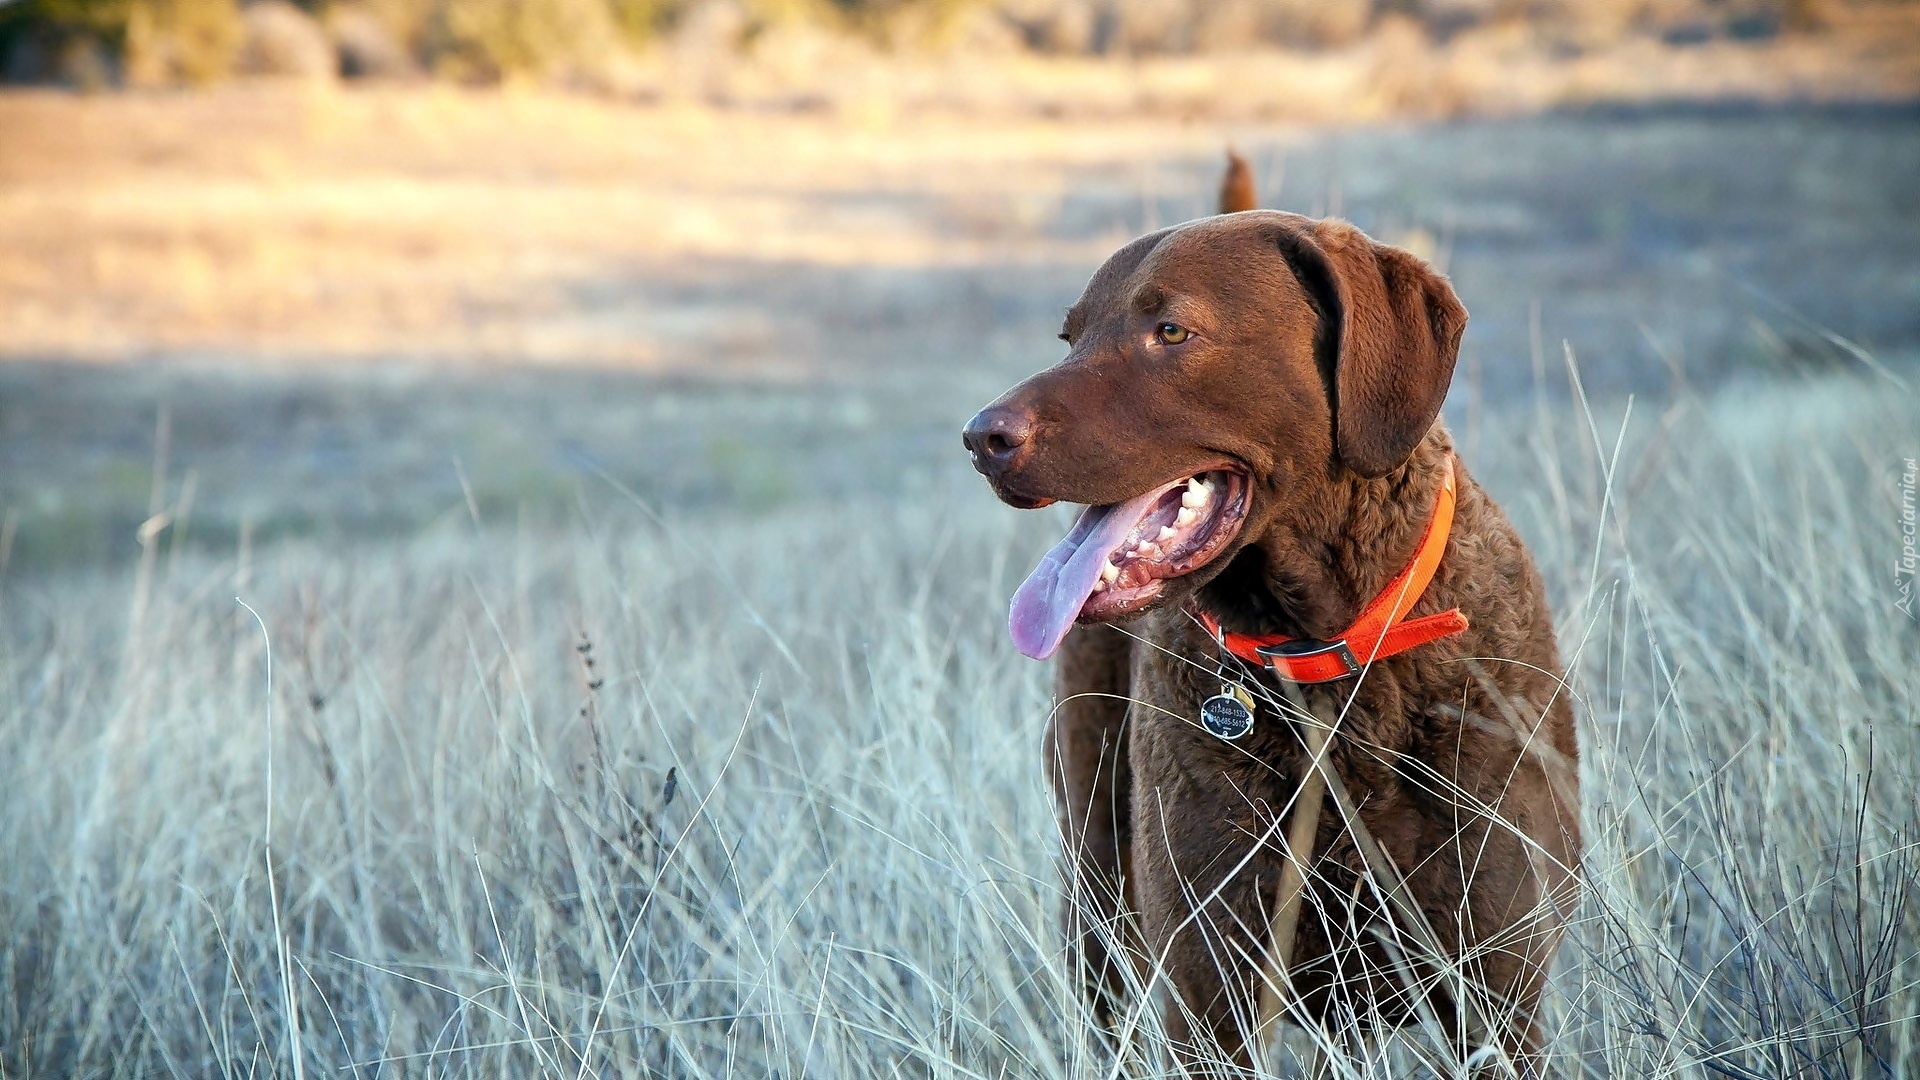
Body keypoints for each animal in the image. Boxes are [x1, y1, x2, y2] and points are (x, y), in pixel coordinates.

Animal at [967, 164, 1582, 1060]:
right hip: (1096, 875)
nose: (981, 438)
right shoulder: (1210, 993)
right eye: (1070, 337)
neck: (1327, 655)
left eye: (1172, 331)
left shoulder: (1497, 987)